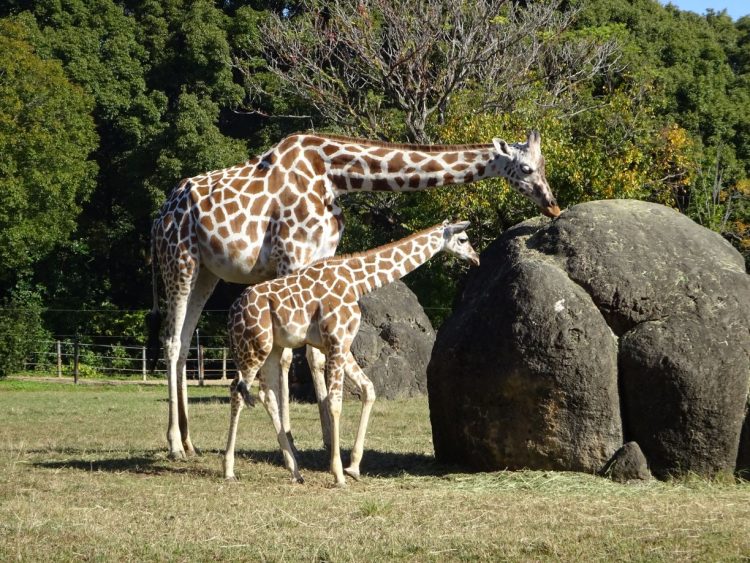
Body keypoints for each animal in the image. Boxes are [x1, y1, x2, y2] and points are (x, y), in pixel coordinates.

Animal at [225, 219, 482, 484]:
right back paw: (229, 470)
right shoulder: (336, 341)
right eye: (463, 239)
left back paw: (295, 471)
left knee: (265, 394)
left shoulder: (342, 344)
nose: (476, 258)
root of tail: (232, 313)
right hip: (253, 347)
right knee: (236, 389)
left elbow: (368, 389)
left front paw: (354, 466)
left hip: (270, 348)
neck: (357, 280)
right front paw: (338, 473)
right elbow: (335, 402)